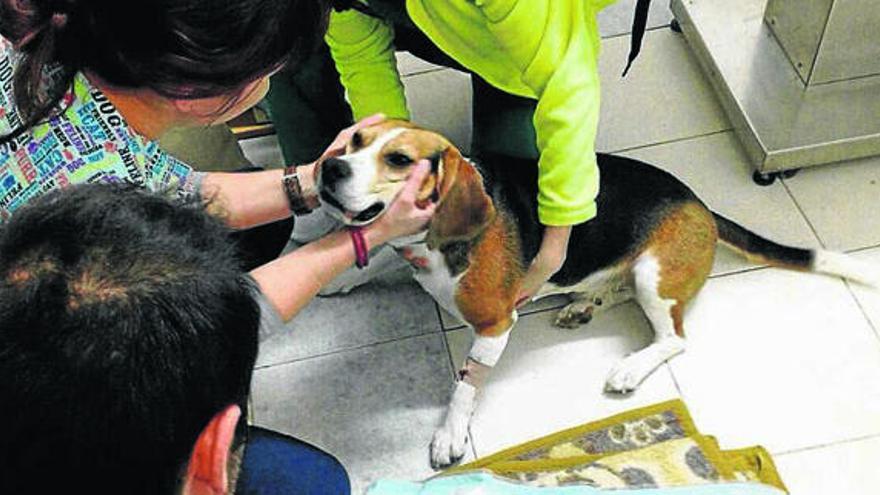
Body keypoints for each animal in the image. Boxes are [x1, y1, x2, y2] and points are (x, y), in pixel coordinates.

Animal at [316, 119, 872, 468]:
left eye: (398, 159)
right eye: (354, 140)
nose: (329, 168)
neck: (432, 246)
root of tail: (700, 204)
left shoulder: (495, 324)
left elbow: (465, 386)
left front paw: (451, 434)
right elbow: (379, 256)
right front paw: (342, 277)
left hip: (652, 273)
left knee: (674, 337)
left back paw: (630, 366)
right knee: (619, 296)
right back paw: (583, 305)